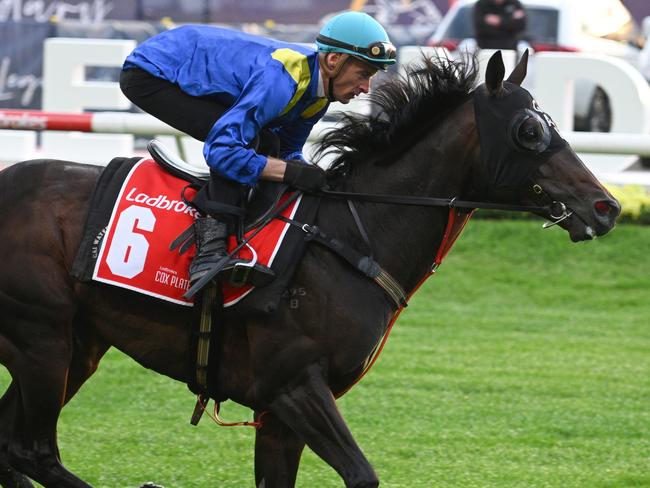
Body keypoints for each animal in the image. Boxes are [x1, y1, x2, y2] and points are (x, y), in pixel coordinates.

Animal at [0, 51, 616, 486]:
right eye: (529, 131)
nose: (606, 206)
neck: (350, 235)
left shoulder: (279, 415)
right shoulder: (294, 386)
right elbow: (362, 475)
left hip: (76, 345)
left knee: (14, 450)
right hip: (43, 339)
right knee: (33, 452)